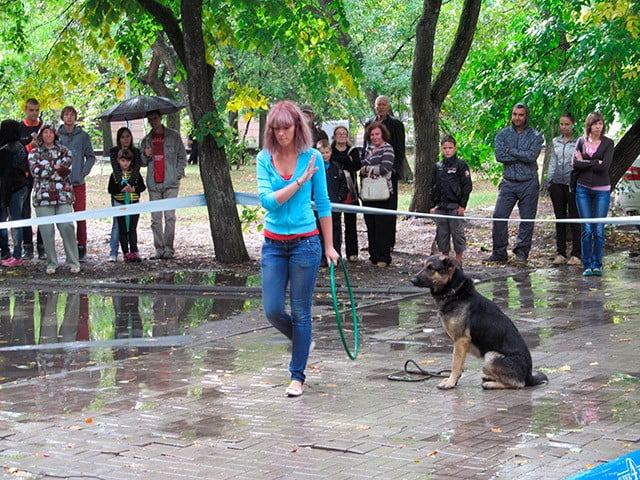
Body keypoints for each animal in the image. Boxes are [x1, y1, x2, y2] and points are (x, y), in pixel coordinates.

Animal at [412, 255, 548, 390]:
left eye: (431, 268)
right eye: (423, 266)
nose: (412, 280)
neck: (455, 292)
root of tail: (529, 376)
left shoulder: (461, 340)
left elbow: (455, 364)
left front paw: (450, 382)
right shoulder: (460, 344)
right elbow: (459, 365)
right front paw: (453, 381)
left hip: (491, 356)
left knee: (518, 384)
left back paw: (491, 384)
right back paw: (490, 378)